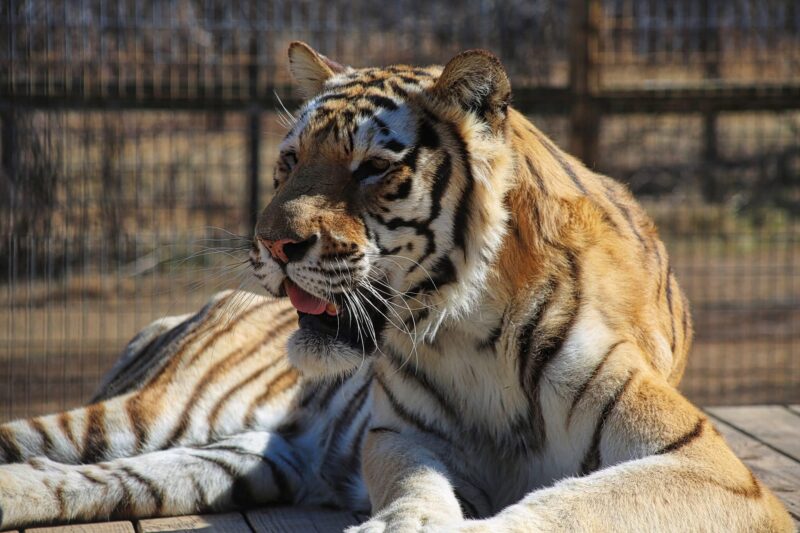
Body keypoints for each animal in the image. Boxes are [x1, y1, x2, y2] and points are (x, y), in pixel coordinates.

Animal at [0, 41, 792, 532]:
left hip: (231, 454)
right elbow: (417, 485)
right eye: (290, 160)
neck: (474, 331)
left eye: (374, 168)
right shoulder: (399, 434)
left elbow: (568, 504)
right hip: (158, 409)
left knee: (85, 476)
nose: (270, 245)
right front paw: (401, 519)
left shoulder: (706, 462)